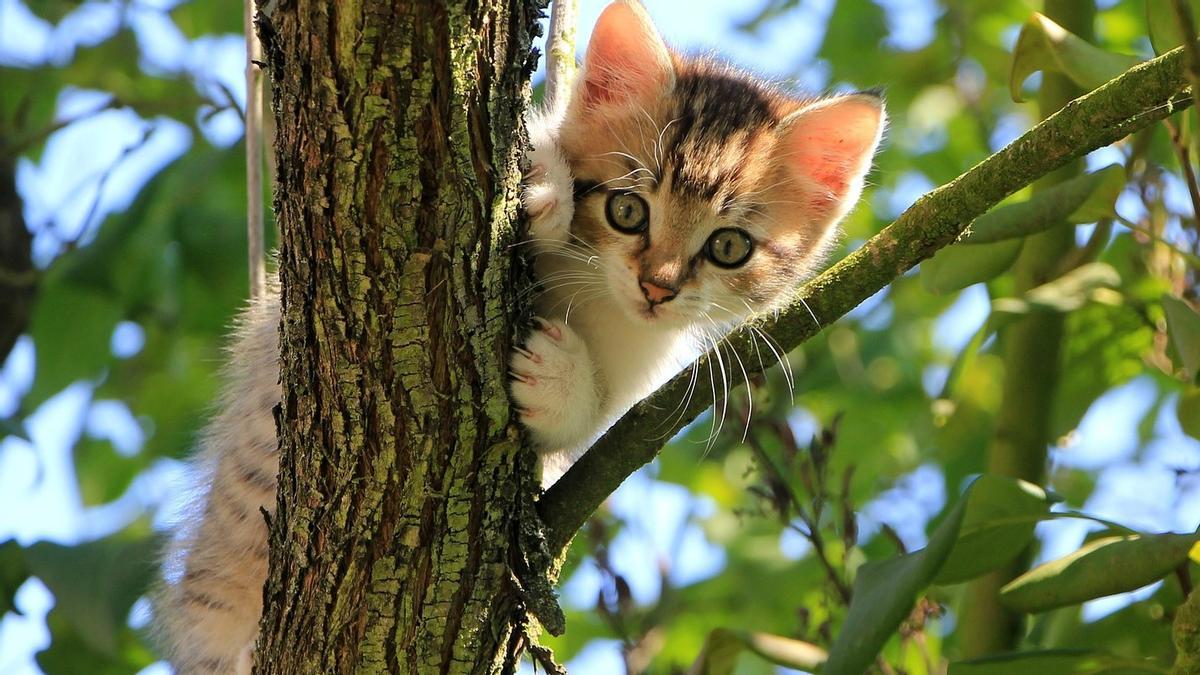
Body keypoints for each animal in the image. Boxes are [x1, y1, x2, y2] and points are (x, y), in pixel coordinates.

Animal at [154, 2, 883, 667]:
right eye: (627, 209)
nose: (657, 287)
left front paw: (558, 378)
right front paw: (541, 182)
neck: (597, 297)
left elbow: (584, 427)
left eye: (729, 246)